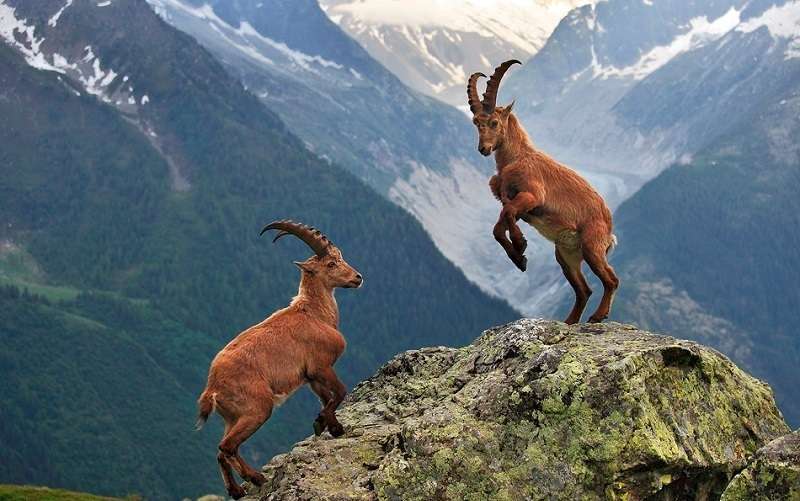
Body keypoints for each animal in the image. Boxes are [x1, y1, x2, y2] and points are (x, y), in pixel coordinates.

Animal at [195, 220, 363, 499]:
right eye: (331, 263)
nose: (358, 277)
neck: (315, 313)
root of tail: (212, 389)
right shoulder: (321, 366)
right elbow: (340, 392)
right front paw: (323, 423)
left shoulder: (310, 377)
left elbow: (327, 397)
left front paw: (331, 426)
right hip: (257, 409)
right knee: (227, 447)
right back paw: (255, 477)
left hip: (233, 417)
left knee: (222, 451)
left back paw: (236, 490)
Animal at [468, 60, 619, 324]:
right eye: (476, 123)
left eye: (495, 122)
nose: (483, 149)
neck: (516, 158)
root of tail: (609, 231)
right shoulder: (514, 202)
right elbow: (499, 226)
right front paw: (520, 258)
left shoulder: (531, 196)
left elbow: (507, 215)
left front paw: (521, 246)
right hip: (566, 255)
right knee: (584, 289)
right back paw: (569, 322)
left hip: (592, 245)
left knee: (611, 280)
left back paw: (598, 316)